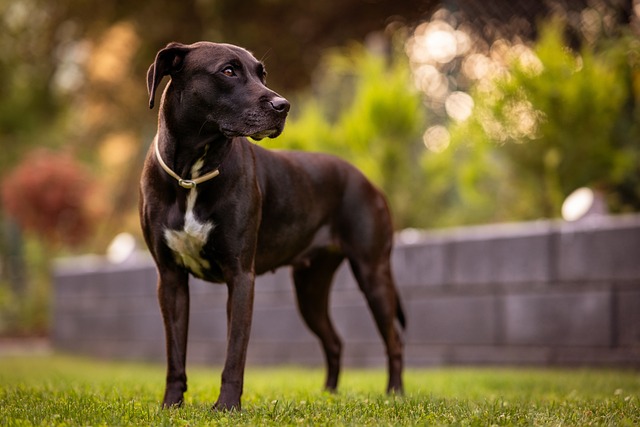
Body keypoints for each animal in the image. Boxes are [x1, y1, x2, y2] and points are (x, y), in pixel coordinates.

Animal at [142, 41, 408, 412]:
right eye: (228, 71)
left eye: (261, 73)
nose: (283, 106)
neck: (190, 174)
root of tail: (367, 180)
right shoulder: (170, 279)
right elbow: (175, 353)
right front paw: (171, 405)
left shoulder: (241, 277)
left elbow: (235, 352)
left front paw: (226, 407)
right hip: (310, 289)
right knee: (335, 341)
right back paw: (329, 395)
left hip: (373, 274)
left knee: (394, 341)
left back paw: (395, 394)